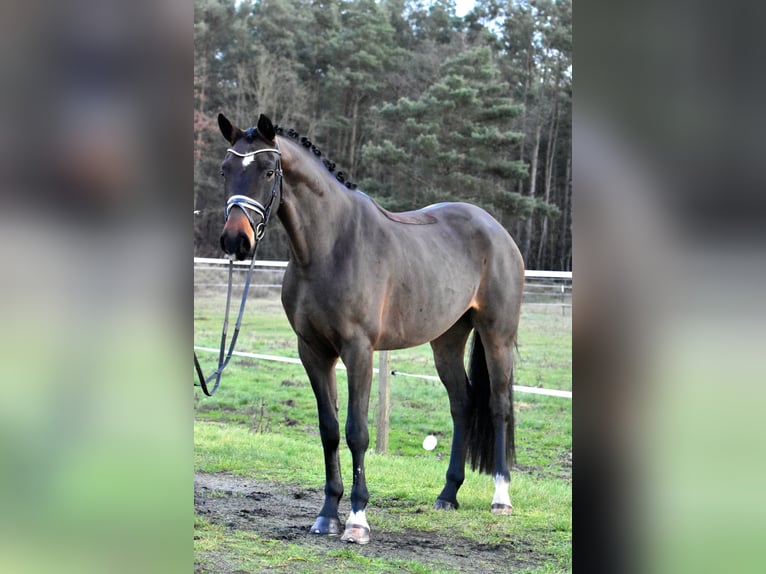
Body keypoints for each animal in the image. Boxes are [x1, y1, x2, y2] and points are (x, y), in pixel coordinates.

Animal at [218, 113, 528, 548]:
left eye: (266, 171)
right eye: (225, 170)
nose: (235, 240)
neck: (328, 248)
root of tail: (496, 230)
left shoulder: (358, 350)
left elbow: (357, 432)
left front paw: (357, 520)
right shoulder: (312, 351)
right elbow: (329, 430)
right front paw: (326, 515)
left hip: (495, 333)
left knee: (498, 405)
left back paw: (501, 496)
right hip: (446, 340)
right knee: (463, 404)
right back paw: (448, 493)